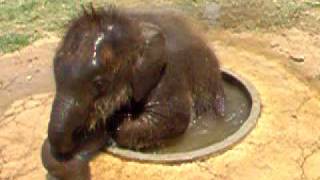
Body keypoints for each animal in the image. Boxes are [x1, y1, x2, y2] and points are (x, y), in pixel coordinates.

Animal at [41, 6, 225, 180]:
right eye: (55, 74)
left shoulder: (168, 73)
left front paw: (114, 122)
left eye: (99, 83)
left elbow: (171, 117)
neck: (134, 27)